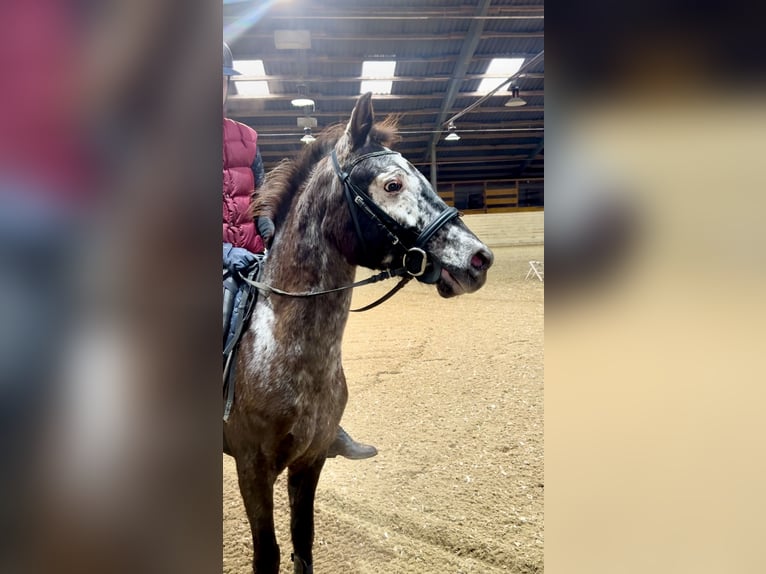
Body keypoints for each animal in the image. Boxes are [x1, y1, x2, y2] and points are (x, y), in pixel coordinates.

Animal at [225, 94, 496, 574]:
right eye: (392, 185)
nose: (479, 258)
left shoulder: (310, 461)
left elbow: (303, 542)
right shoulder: (252, 468)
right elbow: (267, 555)